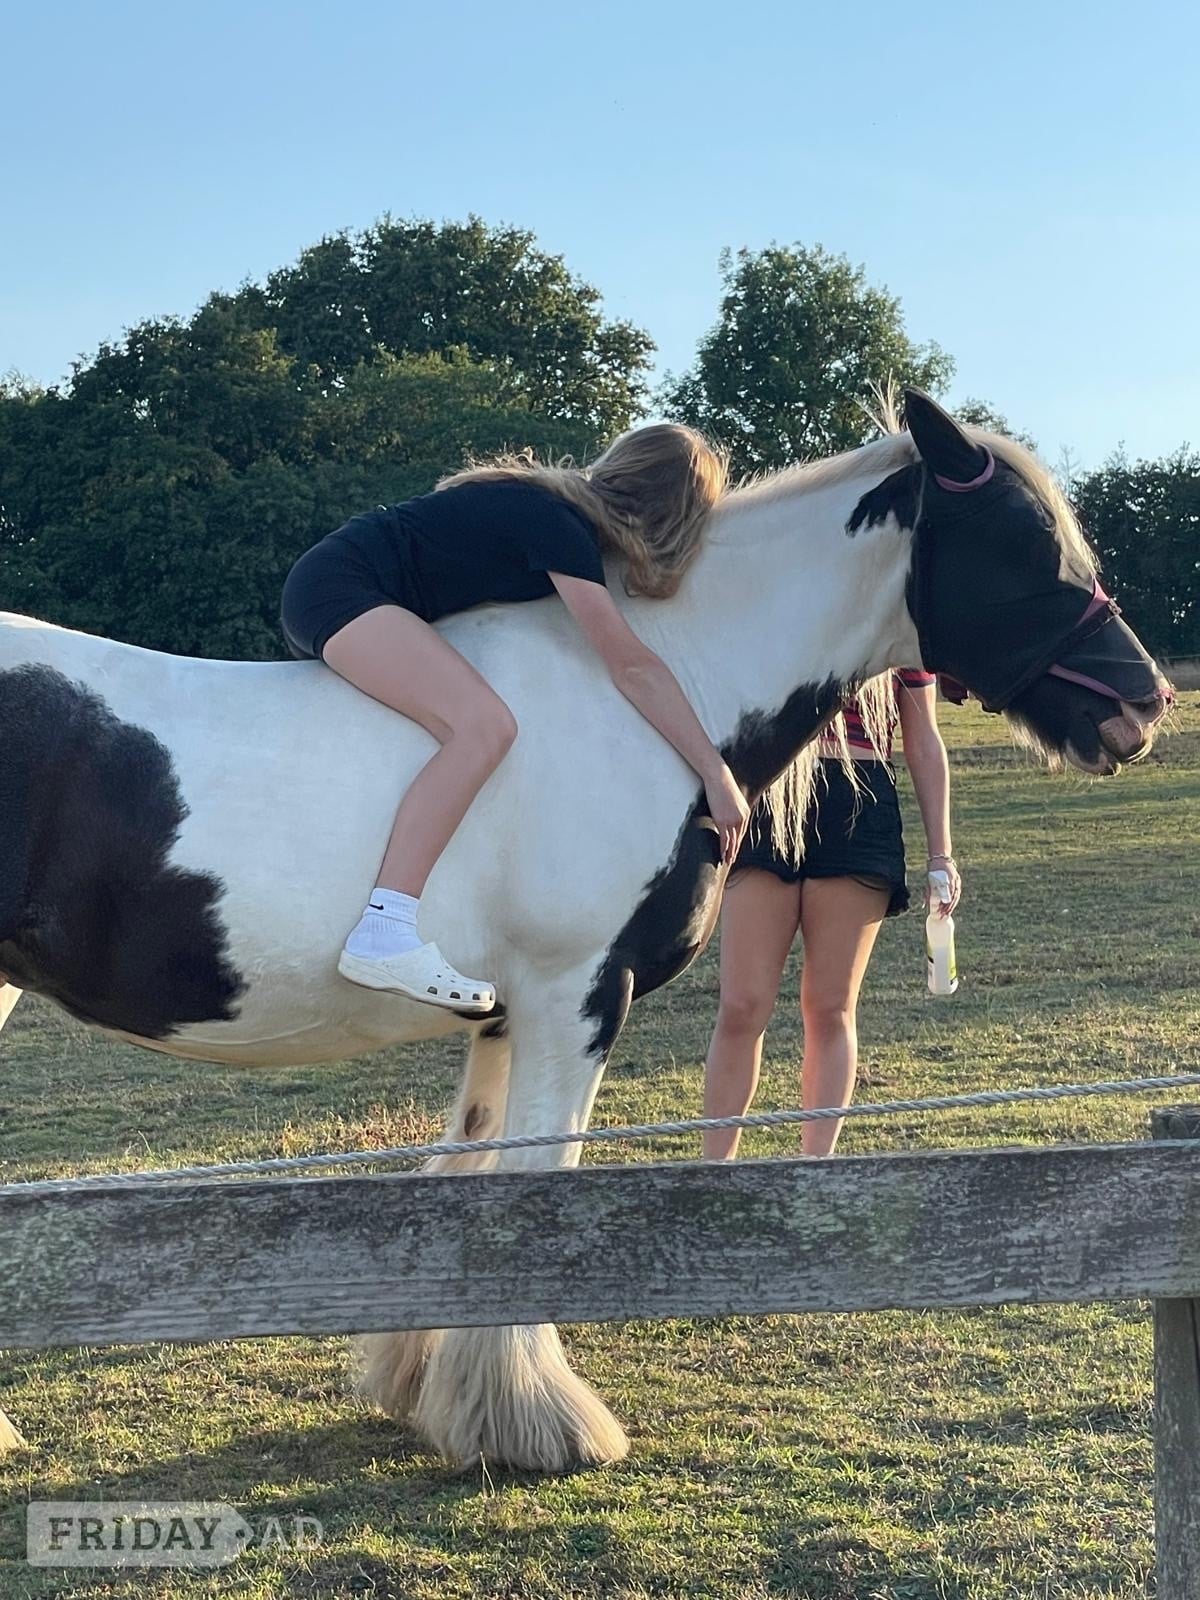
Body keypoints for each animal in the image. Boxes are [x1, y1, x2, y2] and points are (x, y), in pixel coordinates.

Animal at [0, 392, 1171, 1471]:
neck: (655, 692)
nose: (1144, 704)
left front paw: (431, 1387)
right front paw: (538, 1424)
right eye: (1028, 543)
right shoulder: (577, 994)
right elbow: (538, 1187)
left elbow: (476, 1174)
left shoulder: (506, 1012)